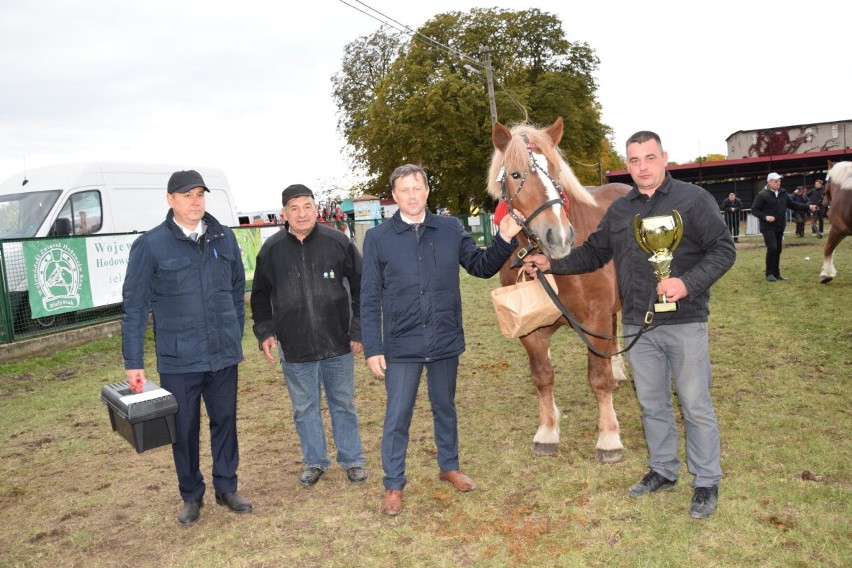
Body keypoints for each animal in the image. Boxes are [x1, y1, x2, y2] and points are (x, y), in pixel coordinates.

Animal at [486, 118, 632, 462]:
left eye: (556, 170)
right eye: (515, 174)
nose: (560, 235)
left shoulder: (594, 320)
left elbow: (598, 378)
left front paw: (609, 438)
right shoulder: (531, 330)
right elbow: (543, 376)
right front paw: (547, 430)